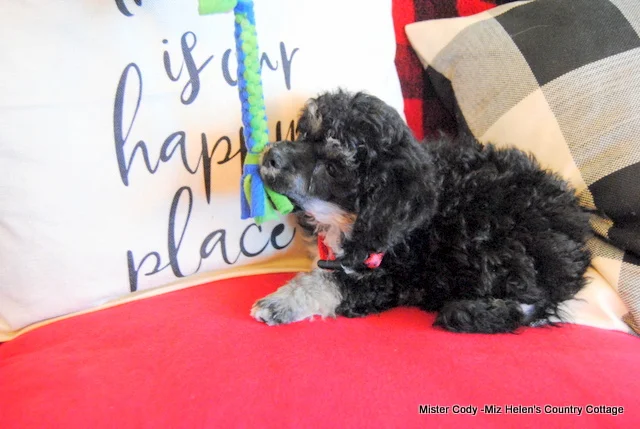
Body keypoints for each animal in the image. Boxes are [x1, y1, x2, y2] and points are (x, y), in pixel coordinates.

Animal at [250, 89, 592, 332]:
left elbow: (330, 282)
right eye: (305, 135)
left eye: (333, 168)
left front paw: (281, 302)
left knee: (529, 302)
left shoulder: (389, 278)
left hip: (489, 235)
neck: (344, 219)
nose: (270, 156)